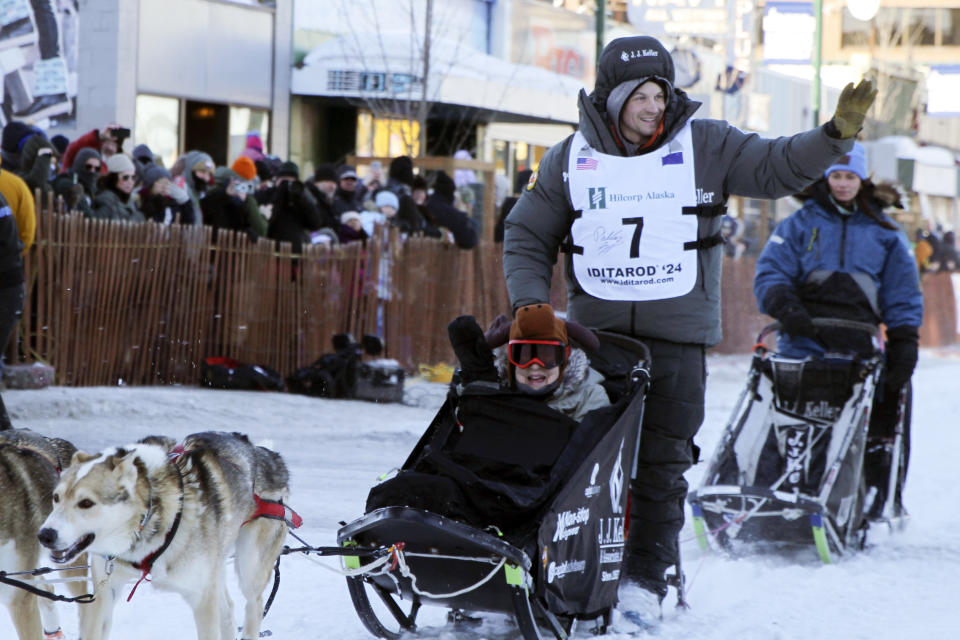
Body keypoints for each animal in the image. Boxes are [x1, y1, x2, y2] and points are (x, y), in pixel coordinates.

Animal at [37, 430, 294, 640]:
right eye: (56, 497)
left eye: (86, 503)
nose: (45, 535)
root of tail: (265, 453)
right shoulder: (104, 593)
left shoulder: (202, 598)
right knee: (229, 610)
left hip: (248, 568)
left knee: (253, 606)